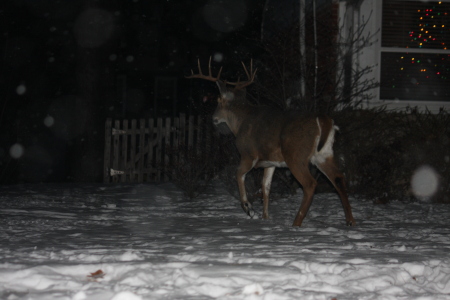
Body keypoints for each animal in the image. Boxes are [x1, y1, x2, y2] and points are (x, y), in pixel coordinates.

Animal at [186, 57, 356, 226]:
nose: (213, 118)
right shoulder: (270, 162)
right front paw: (265, 217)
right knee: (338, 178)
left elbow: (238, 174)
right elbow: (265, 187)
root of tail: (323, 119)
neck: (239, 124)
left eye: (218, 99)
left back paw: (296, 223)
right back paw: (350, 221)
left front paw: (249, 208)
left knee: (310, 183)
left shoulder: (248, 154)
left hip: (295, 155)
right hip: (324, 154)